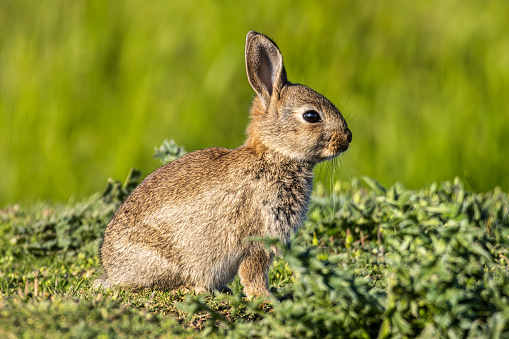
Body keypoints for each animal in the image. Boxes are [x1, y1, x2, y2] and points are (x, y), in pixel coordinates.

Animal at [94, 31, 350, 298]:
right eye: (311, 116)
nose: (347, 138)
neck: (274, 155)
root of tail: (111, 269)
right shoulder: (258, 234)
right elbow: (254, 271)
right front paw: (265, 298)